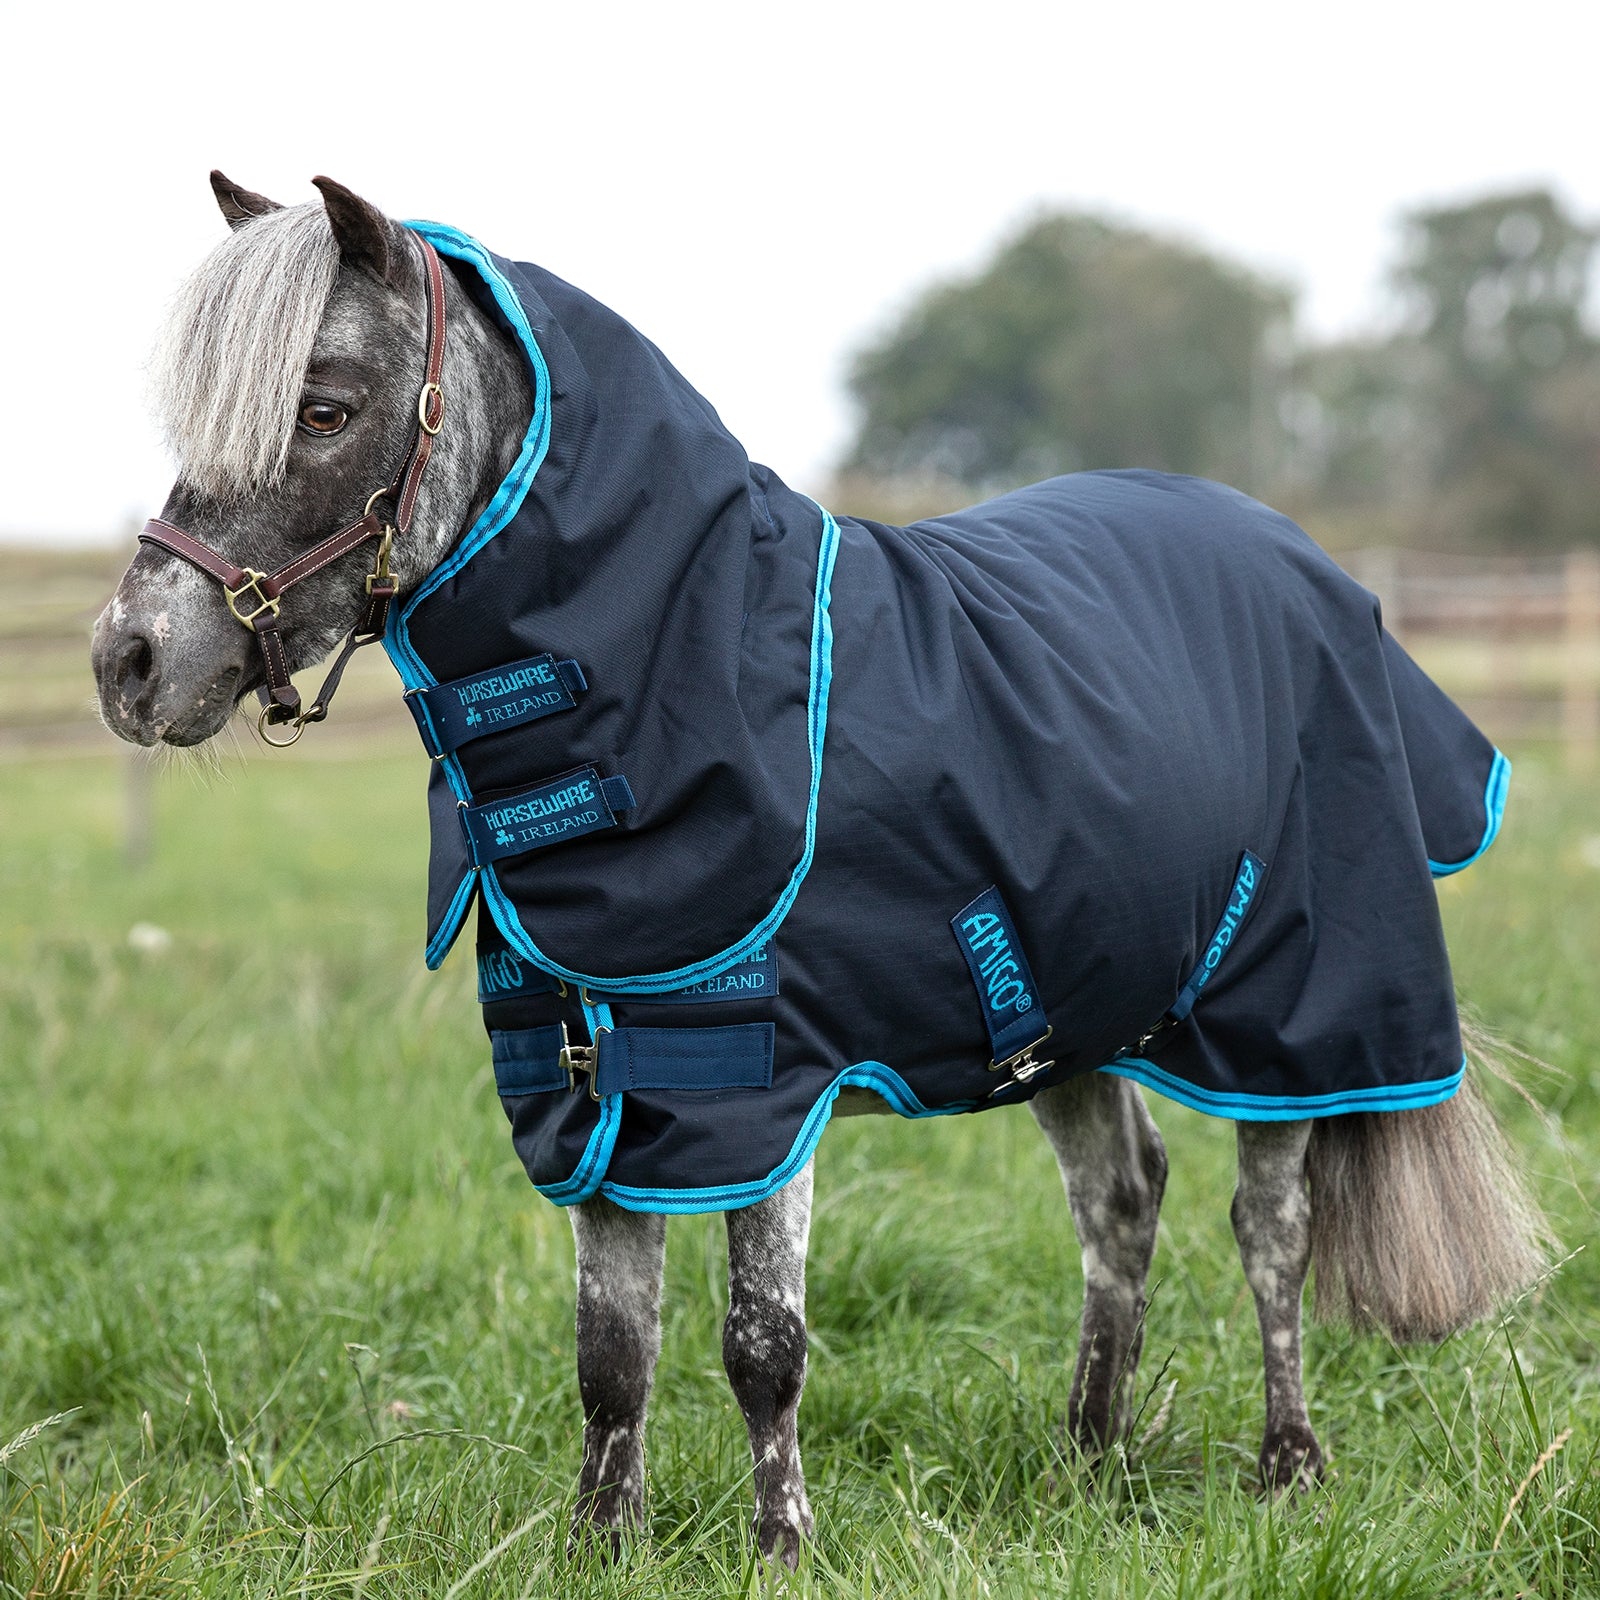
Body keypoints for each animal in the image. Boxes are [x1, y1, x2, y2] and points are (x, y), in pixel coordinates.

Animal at [91, 173, 1546, 1567]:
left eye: (325, 408)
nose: (128, 660)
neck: (687, 666)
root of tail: (1304, 561)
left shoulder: (760, 1082)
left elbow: (760, 1342)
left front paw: (781, 1544)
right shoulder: (597, 1081)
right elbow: (611, 1350)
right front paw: (601, 1544)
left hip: (1296, 1012)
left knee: (1270, 1227)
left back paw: (1286, 1465)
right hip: (1072, 1003)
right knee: (1122, 1205)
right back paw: (1091, 1458)